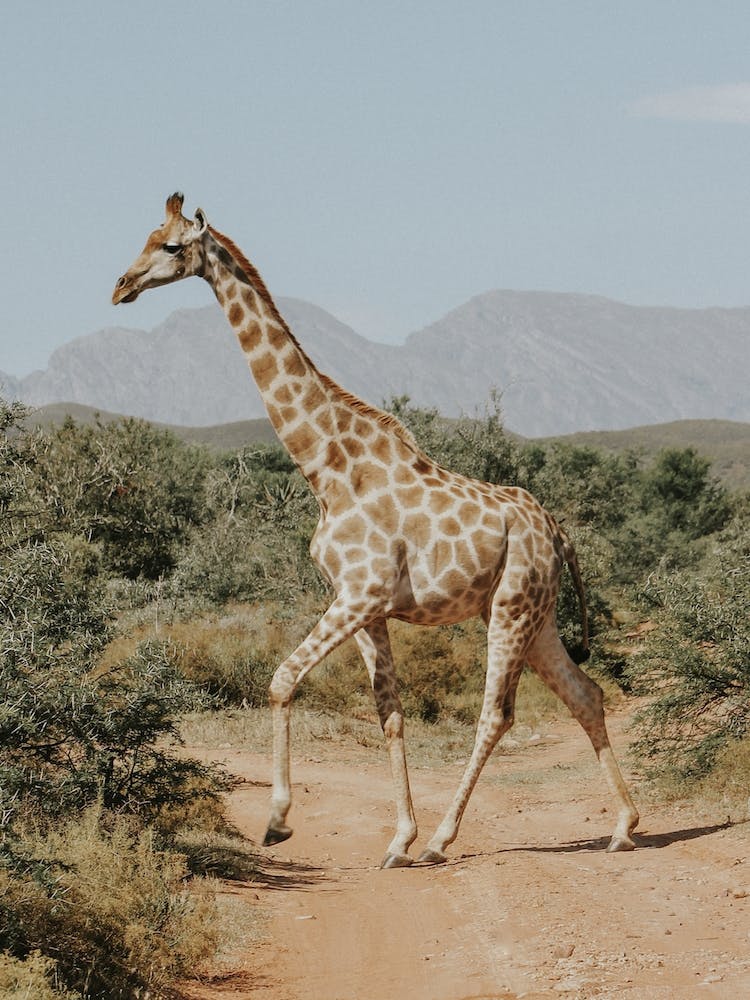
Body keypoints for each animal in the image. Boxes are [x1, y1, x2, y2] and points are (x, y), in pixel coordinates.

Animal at [113, 193, 639, 867]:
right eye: (146, 237)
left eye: (172, 246)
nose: (121, 287)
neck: (326, 467)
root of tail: (556, 531)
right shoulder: (366, 607)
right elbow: (390, 713)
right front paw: (397, 839)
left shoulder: (359, 594)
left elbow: (282, 680)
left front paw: (278, 821)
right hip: (536, 614)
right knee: (586, 694)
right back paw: (623, 825)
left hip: (512, 608)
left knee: (497, 714)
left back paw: (444, 840)